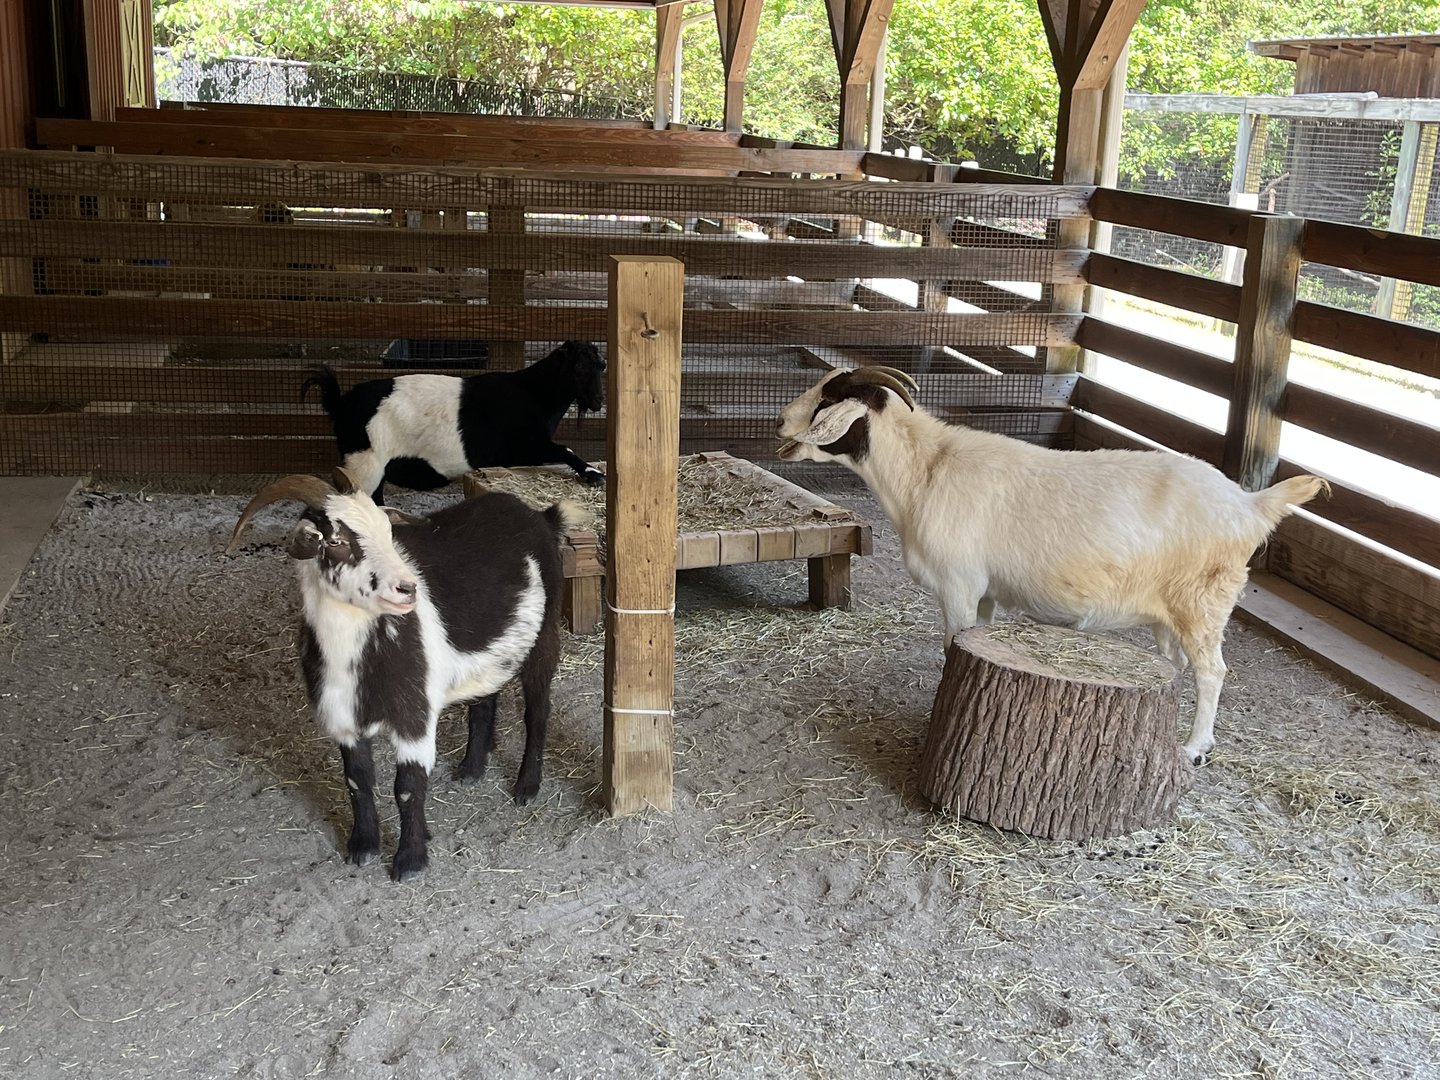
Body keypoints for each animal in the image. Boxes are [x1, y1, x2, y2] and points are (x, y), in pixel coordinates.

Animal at [226, 469, 580, 881]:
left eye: (387, 531)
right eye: (336, 541)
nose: (407, 588)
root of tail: (540, 516)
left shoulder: (415, 716)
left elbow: (408, 786)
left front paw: (410, 859)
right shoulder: (343, 718)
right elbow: (357, 781)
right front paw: (363, 847)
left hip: (546, 632)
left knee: (538, 711)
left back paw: (527, 787)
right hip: (491, 654)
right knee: (485, 696)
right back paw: (472, 768)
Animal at [302, 340, 606, 503]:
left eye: (601, 366)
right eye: (579, 366)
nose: (598, 401)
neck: (534, 393)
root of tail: (341, 402)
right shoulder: (525, 446)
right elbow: (565, 448)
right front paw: (594, 474)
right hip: (365, 463)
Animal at [776, 366, 1328, 764]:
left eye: (827, 398)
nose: (780, 421)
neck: (923, 471)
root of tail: (1252, 505)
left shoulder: (957, 583)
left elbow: (953, 645)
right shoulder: (985, 590)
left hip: (1204, 602)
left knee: (1212, 671)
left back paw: (1194, 748)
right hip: (1169, 611)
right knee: (1174, 665)